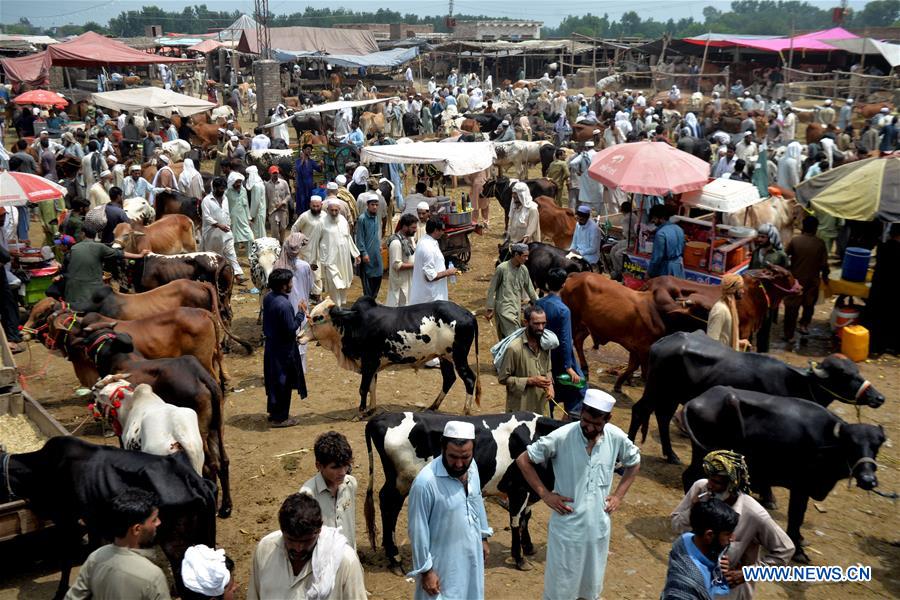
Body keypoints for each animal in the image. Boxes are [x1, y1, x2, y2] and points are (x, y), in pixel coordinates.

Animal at [0, 436, 218, 600]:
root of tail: (198, 481)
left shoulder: (67, 519)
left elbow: (67, 558)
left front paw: (60, 592)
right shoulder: (93, 524)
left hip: (177, 546)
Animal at [298, 296, 482, 418]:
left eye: (318, 317)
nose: (298, 336)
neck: (354, 322)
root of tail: (468, 313)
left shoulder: (368, 362)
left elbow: (363, 388)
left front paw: (361, 412)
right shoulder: (372, 365)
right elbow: (372, 387)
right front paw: (371, 410)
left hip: (458, 357)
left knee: (469, 379)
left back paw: (465, 411)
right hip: (444, 357)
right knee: (449, 379)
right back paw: (433, 406)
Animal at [362, 412, 560, 572]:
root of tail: (382, 416)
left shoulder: (530, 489)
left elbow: (527, 516)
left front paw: (529, 547)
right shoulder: (519, 488)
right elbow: (516, 521)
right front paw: (520, 558)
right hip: (401, 481)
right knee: (389, 506)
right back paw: (395, 559)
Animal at [628, 328, 884, 464]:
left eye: (857, 371)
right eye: (845, 375)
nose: (878, 398)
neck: (796, 382)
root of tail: (663, 341)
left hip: (671, 395)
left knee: (662, 417)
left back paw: (671, 455)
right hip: (657, 389)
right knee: (640, 410)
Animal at [684, 386, 884, 560]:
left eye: (876, 446)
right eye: (852, 445)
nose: (868, 479)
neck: (827, 441)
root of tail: (696, 400)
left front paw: (800, 539)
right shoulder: (800, 487)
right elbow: (796, 516)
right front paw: (798, 551)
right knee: (690, 478)